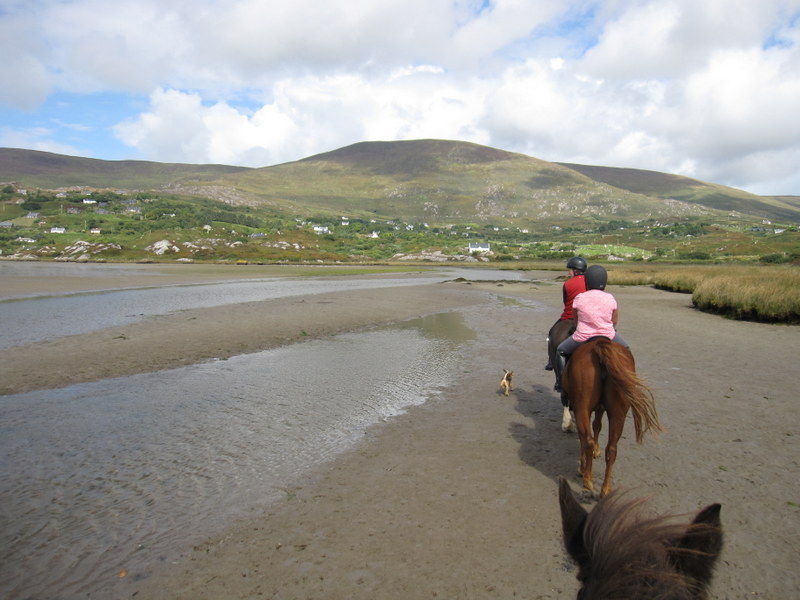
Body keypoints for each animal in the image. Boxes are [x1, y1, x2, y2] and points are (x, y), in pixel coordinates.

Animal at [560, 338, 660, 496]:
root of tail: (598, 346)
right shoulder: (601, 407)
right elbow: (597, 425)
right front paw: (596, 451)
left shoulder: (580, 408)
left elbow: (586, 435)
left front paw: (582, 467)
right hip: (618, 413)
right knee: (612, 448)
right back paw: (606, 489)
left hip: (582, 408)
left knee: (587, 440)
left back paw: (588, 480)